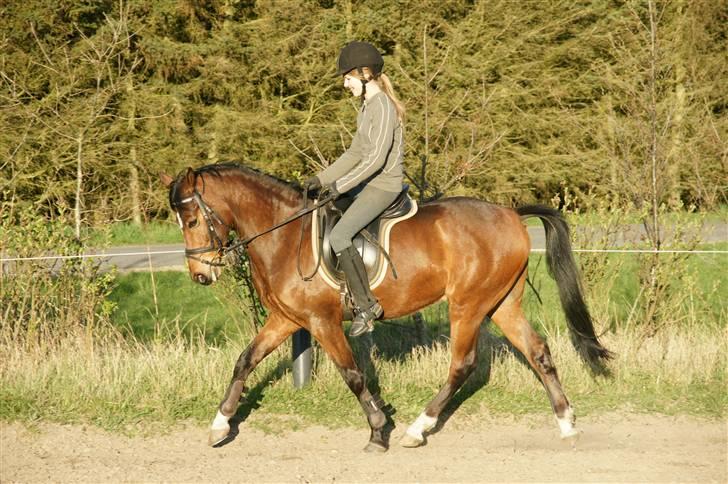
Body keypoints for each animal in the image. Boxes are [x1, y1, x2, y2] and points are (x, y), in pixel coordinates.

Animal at [160, 163, 612, 451]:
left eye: (193, 220)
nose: (200, 275)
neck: (284, 235)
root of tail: (511, 214)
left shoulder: (322, 321)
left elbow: (353, 374)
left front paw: (379, 431)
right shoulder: (287, 319)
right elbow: (245, 361)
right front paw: (220, 425)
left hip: (467, 305)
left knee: (462, 365)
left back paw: (418, 428)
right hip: (502, 304)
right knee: (537, 352)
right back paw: (566, 423)